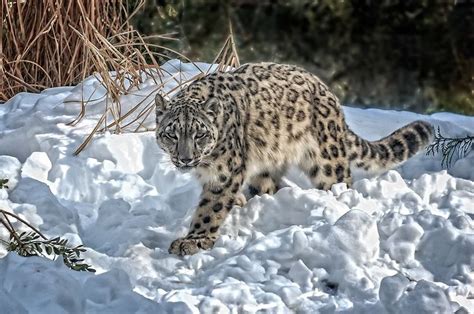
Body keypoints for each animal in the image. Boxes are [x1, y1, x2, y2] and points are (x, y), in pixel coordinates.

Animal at [156, 62, 434, 255]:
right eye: (171, 133)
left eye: (200, 134)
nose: (185, 159)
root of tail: (327, 92)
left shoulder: (224, 172)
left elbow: (210, 208)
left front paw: (194, 240)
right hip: (268, 161)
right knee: (269, 185)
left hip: (327, 161)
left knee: (341, 182)